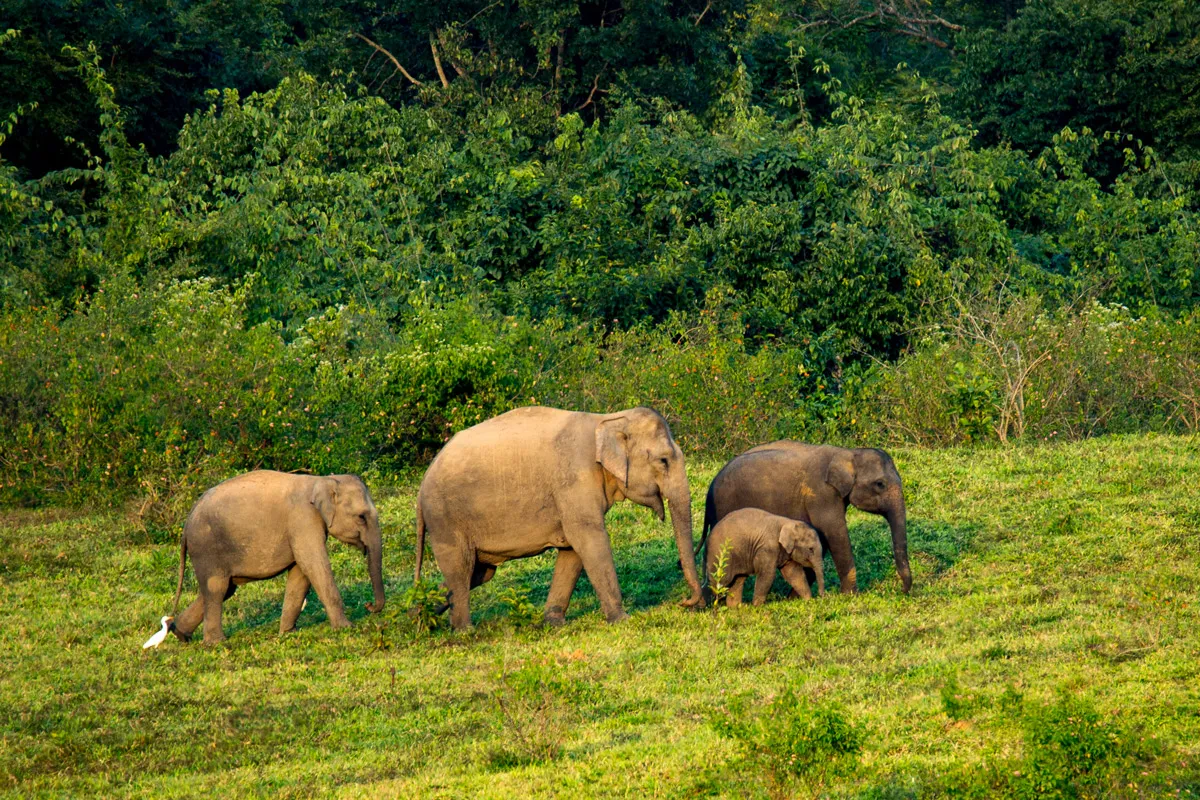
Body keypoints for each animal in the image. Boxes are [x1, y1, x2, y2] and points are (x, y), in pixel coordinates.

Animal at [168, 470, 385, 644]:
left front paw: (288, 633)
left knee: (223, 589)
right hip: (207, 548)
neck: (322, 480)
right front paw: (346, 627)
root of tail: (186, 525)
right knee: (217, 588)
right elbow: (314, 566)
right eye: (361, 517)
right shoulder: (303, 520)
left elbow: (300, 572)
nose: (368, 605)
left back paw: (180, 634)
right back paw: (215, 643)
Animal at [414, 405, 704, 630]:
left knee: (477, 573)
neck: (607, 419)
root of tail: (423, 483)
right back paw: (464, 631)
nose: (685, 602)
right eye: (663, 461)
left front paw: (554, 623)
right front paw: (622, 620)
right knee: (460, 569)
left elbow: (572, 550)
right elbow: (589, 539)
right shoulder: (574, 480)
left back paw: (417, 615)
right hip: (446, 519)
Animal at [701, 442, 911, 595]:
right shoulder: (820, 494)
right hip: (724, 506)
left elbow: (822, 539)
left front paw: (794, 597)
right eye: (880, 484)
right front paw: (851, 595)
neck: (846, 453)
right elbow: (835, 535)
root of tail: (710, 488)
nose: (902, 592)